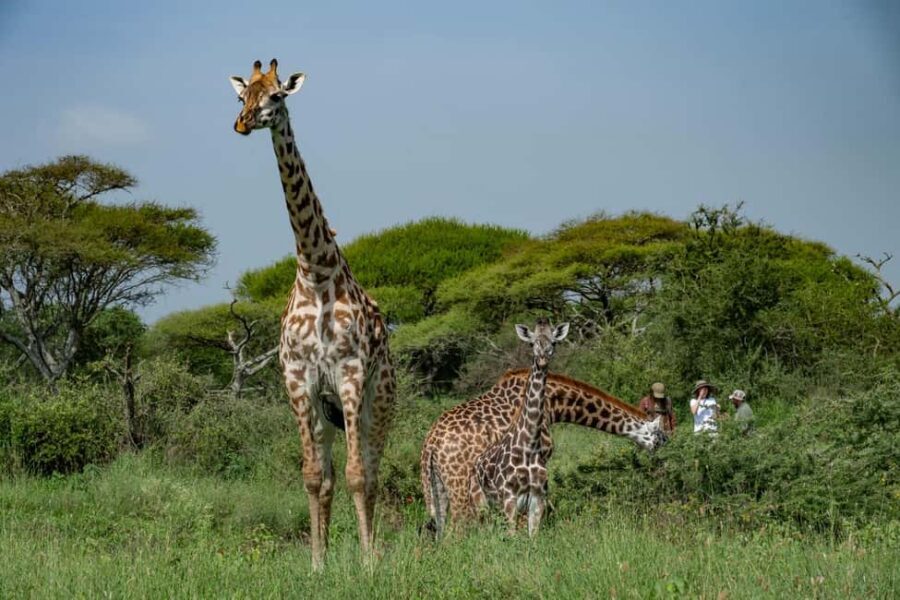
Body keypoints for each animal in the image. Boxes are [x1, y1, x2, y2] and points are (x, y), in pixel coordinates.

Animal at [230, 59, 395, 570]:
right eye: (241, 96)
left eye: (277, 97)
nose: (242, 123)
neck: (315, 270)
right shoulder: (298, 379)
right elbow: (312, 476)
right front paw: (318, 564)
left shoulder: (351, 373)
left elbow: (359, 475)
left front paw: (367, 563)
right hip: (328, 409)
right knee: (330, 474)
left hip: (379, 401)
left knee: (373, 470)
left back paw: (373, 547)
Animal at [422, 367, 665, 537]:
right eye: (660, 435)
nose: (662, 453)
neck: (554, 404)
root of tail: (430, 444)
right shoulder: (537, 462)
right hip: (460, 486)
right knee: (457, 529)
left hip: (438, 487)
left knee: (442, 530)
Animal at [467, 319, 569, 536]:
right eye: (532, 343)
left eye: (554, 342)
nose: (542, 359)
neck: (529, 446)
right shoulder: (509, 497)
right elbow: (512, 536)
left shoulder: (538, 498)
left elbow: (532, 537)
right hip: (480, 502)